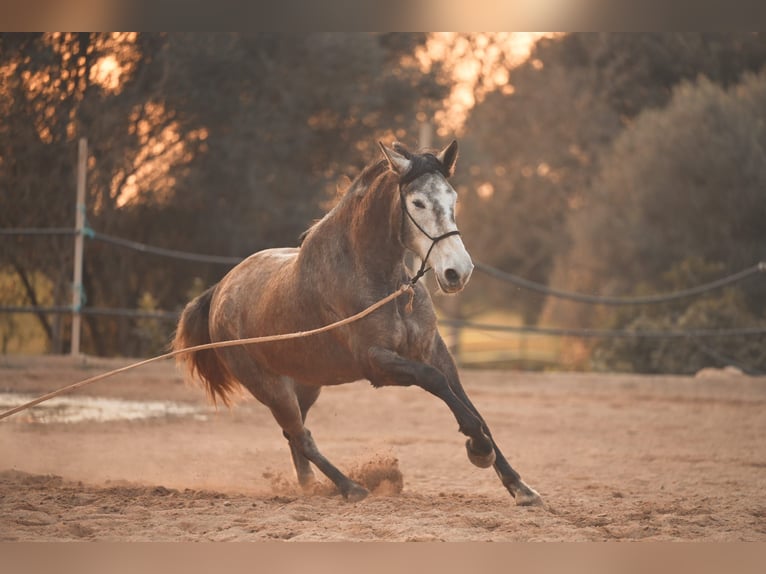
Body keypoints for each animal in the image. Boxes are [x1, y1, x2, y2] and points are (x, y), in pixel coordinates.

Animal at [176, 140, 544, 508]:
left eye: (452, 198)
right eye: (418, 202)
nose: (458, 272)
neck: (384, 284)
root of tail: (220, 290)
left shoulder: (434, 350)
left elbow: (470, 406)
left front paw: (520, 486)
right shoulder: (377, 363)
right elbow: (435, 381)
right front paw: (479, 449)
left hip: (305, 383)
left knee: (295, 435)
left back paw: (311, 486)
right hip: (270, 387)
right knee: (301, 436)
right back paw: (350, 487)